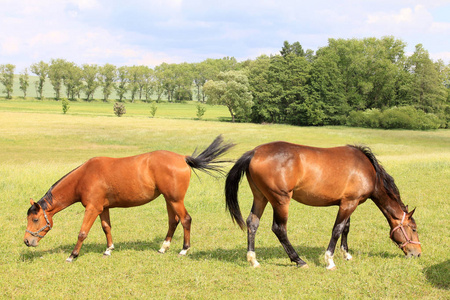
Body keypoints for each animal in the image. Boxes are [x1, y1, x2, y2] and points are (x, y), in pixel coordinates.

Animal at [23, 135, 236, 262]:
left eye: (35, 219)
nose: (26, 241)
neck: (84, 176)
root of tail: (182, 158)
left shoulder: (92, 208)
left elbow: (82, 232)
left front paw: (73, 255)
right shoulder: (103, 208)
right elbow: (106, 228)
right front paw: (108, 249)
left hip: (175, 200)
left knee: (185, 220)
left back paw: (184, 249)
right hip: (168, 200)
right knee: (173, 221)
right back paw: (163, 247)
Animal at [225, 142, 422, 270]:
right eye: (413, 229)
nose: (417, 253)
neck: (369, 171)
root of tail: (254, 152)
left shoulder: (348, 203)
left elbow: (346, 228)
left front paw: (346, 254)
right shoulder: (349, 203)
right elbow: (337, 229)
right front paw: (329, 260)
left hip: (261, 197)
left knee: (252, 224)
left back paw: (253, 260)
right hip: (280, 201)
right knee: (279, 229)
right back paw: (299, 260)